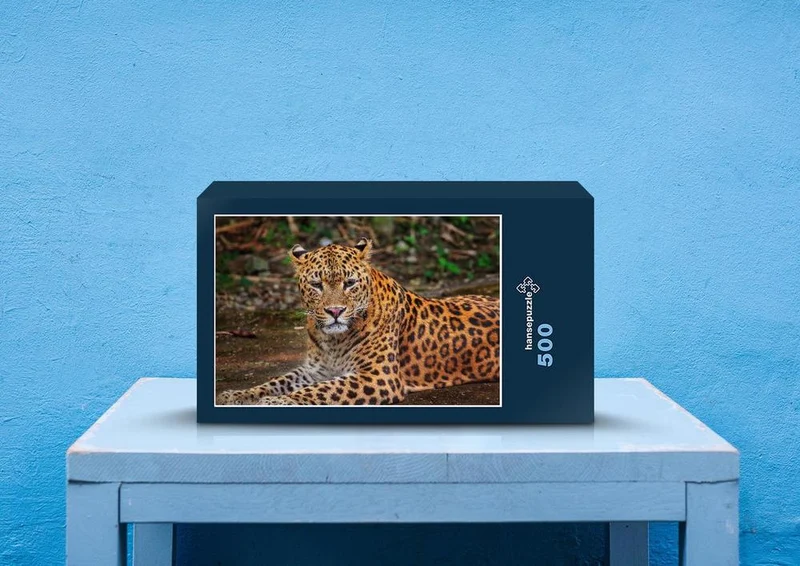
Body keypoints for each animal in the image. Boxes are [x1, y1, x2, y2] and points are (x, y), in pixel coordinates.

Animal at [215, 237, 500, 406]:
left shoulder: (378, 376)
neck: (333, 340)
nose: (335, 311)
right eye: (316, 285)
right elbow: (274, 383)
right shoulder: (315, 370)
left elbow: (321, 390)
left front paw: (277, 402)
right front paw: (235, 395)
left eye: (349, 283)